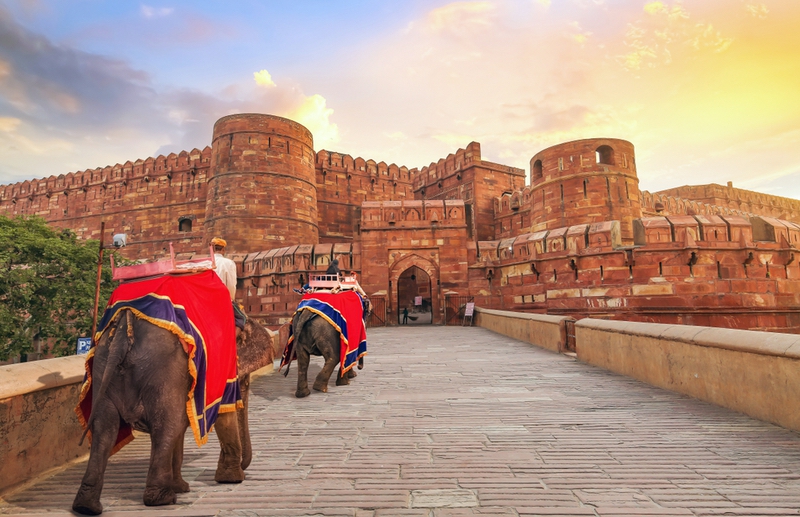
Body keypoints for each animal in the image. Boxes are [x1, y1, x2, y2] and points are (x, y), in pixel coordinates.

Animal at [72, 308, 274, 512]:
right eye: (245, 381)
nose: (244, 468)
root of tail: (125, 325)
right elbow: (222, 415)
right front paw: (231, 479)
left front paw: (183, 486)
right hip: (162, 369)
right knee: (166, 427)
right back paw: (162, 498)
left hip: (102, 365)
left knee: (105, 429)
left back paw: (86, 506)